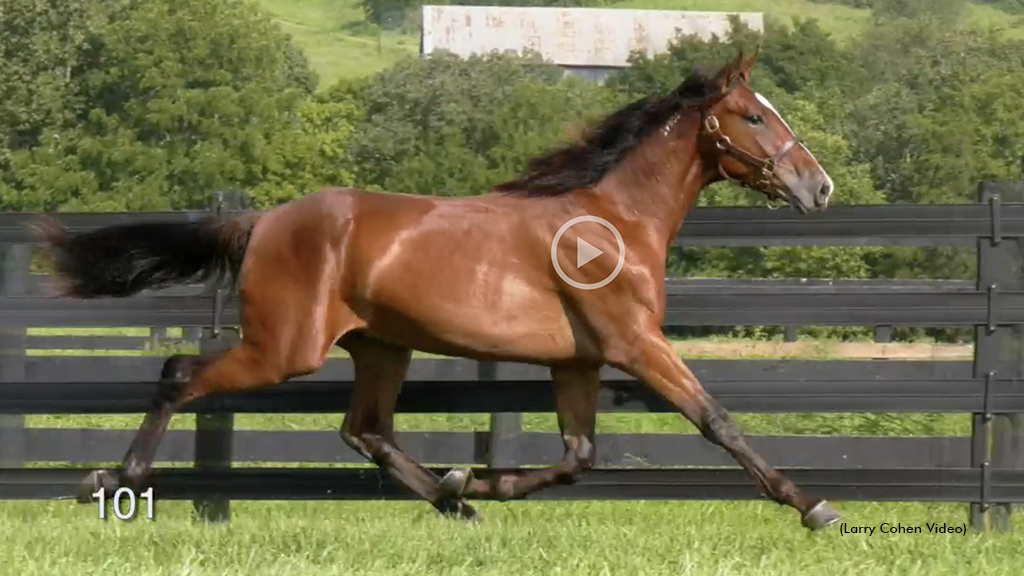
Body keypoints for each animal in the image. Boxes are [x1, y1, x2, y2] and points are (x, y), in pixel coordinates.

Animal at [36, 51, 839, 528]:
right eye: (755, 116)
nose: (820, 187)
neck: (613, 222)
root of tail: (263, 221)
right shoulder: (635, 345)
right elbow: (716, 420)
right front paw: (810, 504)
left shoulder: (576, 361)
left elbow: (579, 456)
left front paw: (482, 484)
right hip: (284, 349)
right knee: (181, 373)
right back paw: (111, 479)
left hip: (380, 347)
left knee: (366, 430)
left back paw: (454, 499)